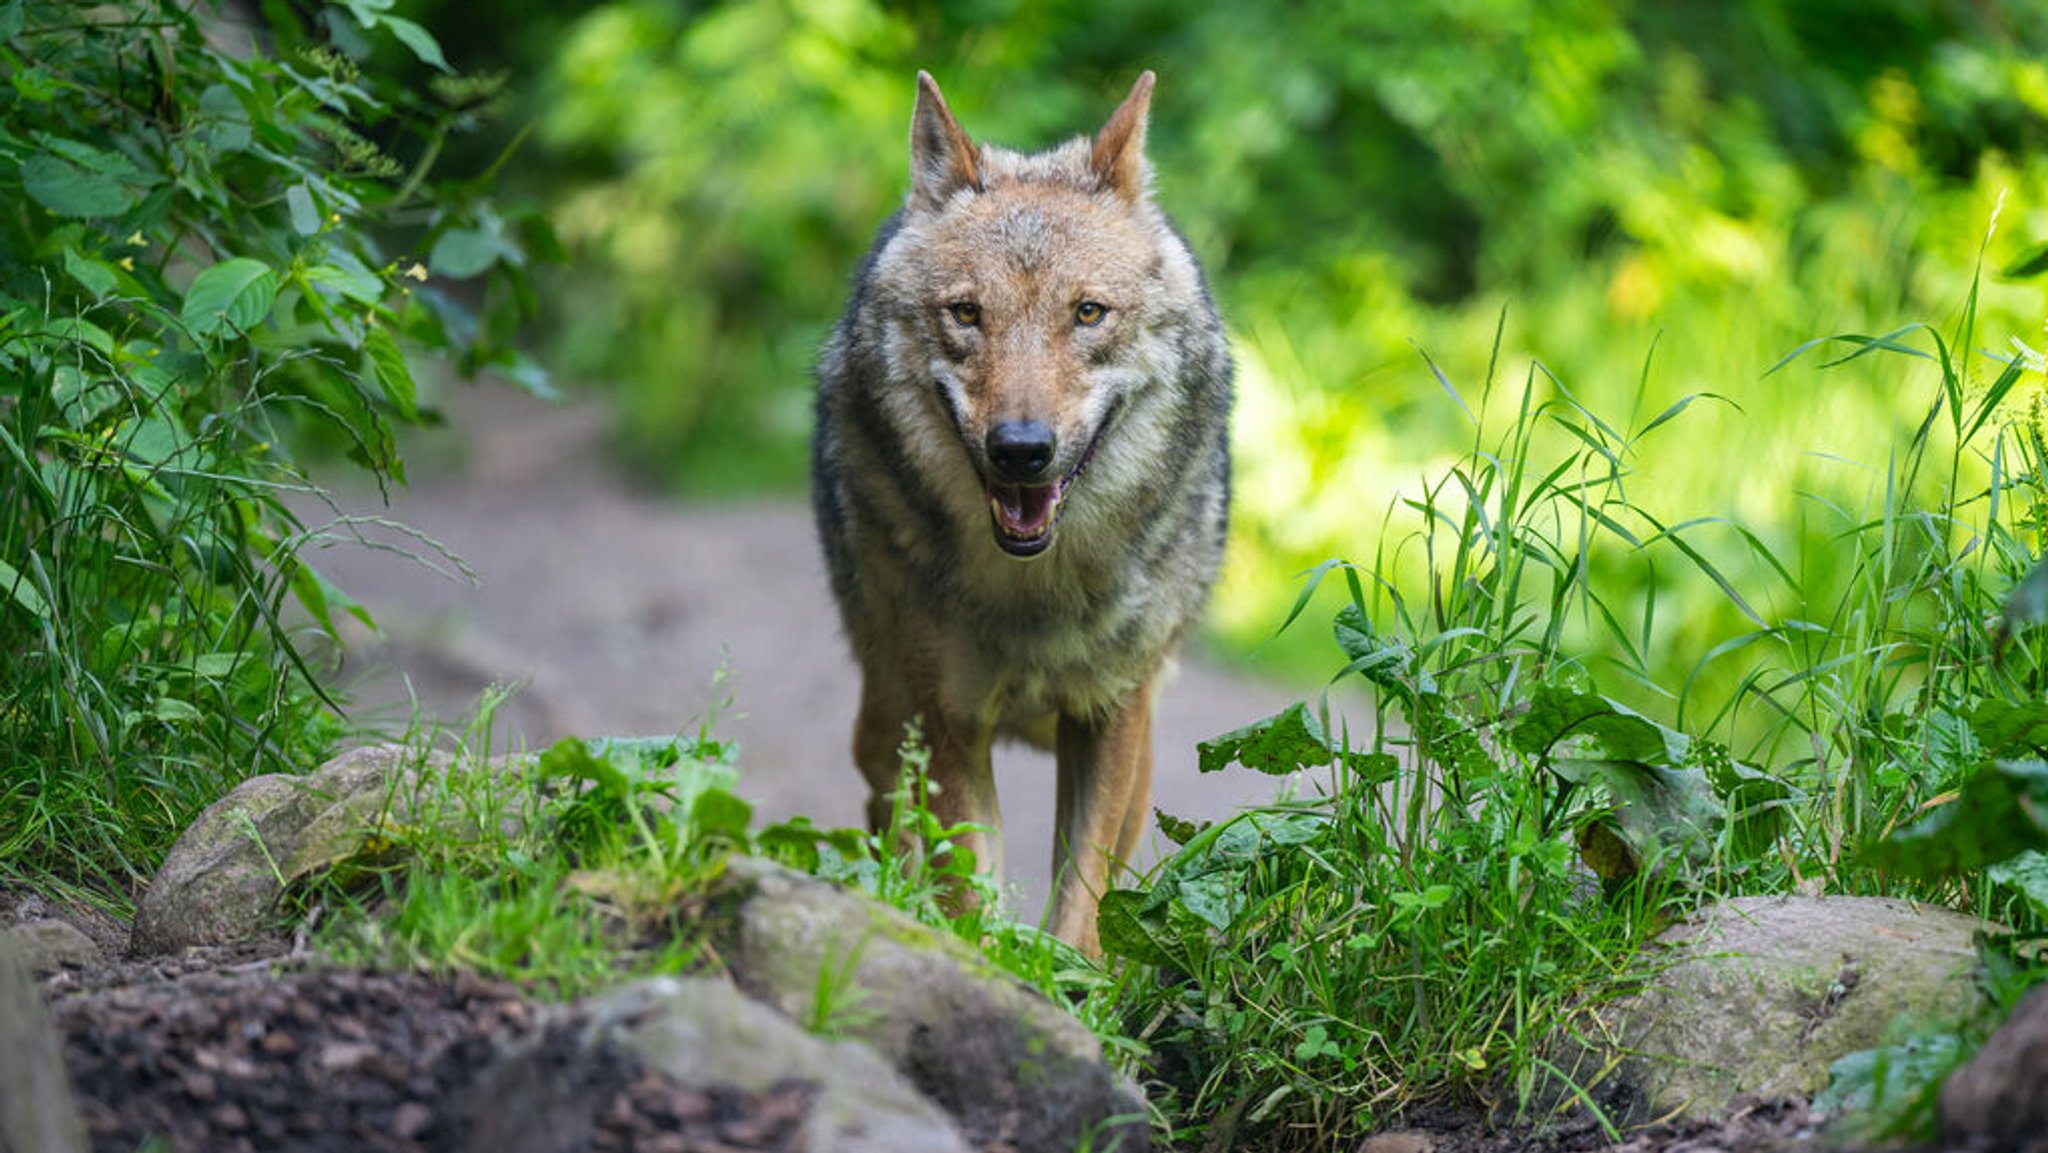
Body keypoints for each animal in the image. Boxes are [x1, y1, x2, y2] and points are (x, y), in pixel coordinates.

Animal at [811, 74, 1228, 958]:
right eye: (968, 313)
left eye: (1089, 313)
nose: (1022, 450)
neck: (1036, 594)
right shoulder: (947, 720)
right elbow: (970, 891)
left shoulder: (1111, 713)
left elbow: (1082, 898)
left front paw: (1068, 978)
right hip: (887, 714)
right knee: (886, 822)